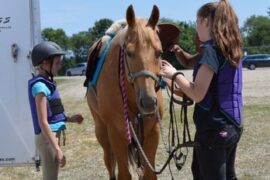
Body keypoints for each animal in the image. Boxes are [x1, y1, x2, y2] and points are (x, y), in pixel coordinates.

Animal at [85, 4, 163, 180]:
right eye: (128, 52)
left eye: (159, 53)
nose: (148, 102)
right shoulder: (116, 133)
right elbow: (123, 174)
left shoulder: (152, 132)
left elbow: (149, 174)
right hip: (102, 133)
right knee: (109, 163)